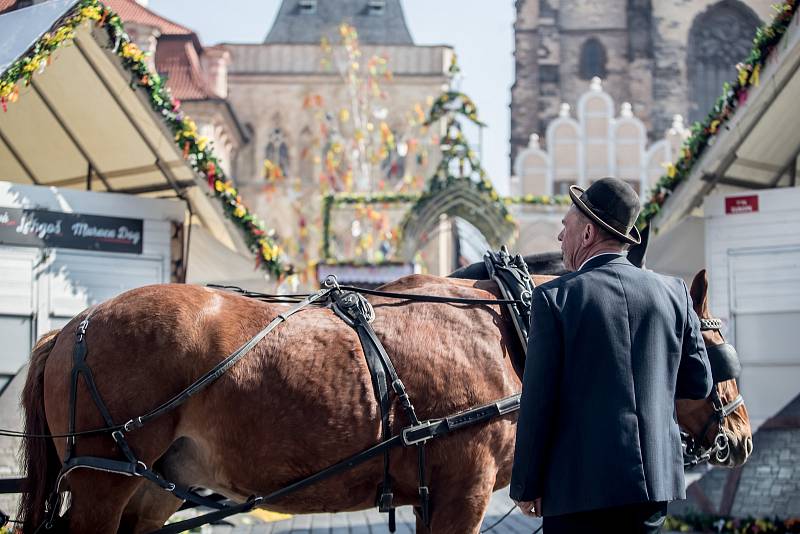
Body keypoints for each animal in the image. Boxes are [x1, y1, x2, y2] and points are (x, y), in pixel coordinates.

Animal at [17, 272, 752, 534]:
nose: (741, 434)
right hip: (103, 480)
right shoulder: (463, 493)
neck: (505, 331)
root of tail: (73, 327)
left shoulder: (434, 495)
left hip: (152, 485)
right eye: (713, 348)